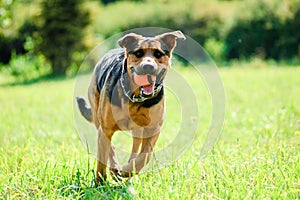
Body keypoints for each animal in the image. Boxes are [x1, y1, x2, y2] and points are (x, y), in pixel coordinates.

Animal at [76, 30, 186, 183]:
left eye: (158, 54)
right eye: (138, 53)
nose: (148, 67)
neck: (136, 97)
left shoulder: (153, 129)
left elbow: (144, 156)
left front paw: (129, 170)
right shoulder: (105, 129)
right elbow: (103, 160)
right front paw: (100, 183)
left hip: (137, 131)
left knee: (134, 149)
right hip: (98, 116)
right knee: (110, 148)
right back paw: (115, 169)